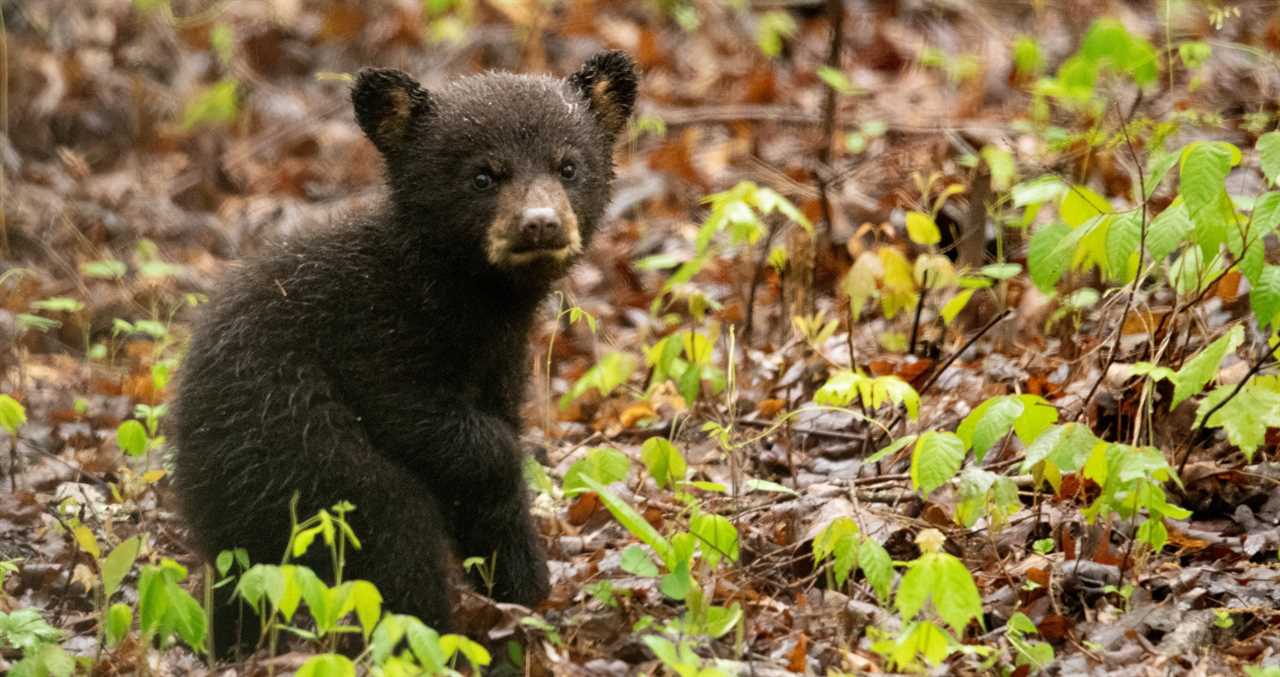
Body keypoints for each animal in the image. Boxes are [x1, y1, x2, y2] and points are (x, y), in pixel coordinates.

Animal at [171, 51, 637, 656]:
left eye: (568, 166)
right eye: (483, 175)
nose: (540, 224)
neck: (463, 294)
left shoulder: (499, 362)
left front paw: (523, 592)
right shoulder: (373, 333)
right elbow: (438, 427)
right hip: (295, 456)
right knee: (392, 530)